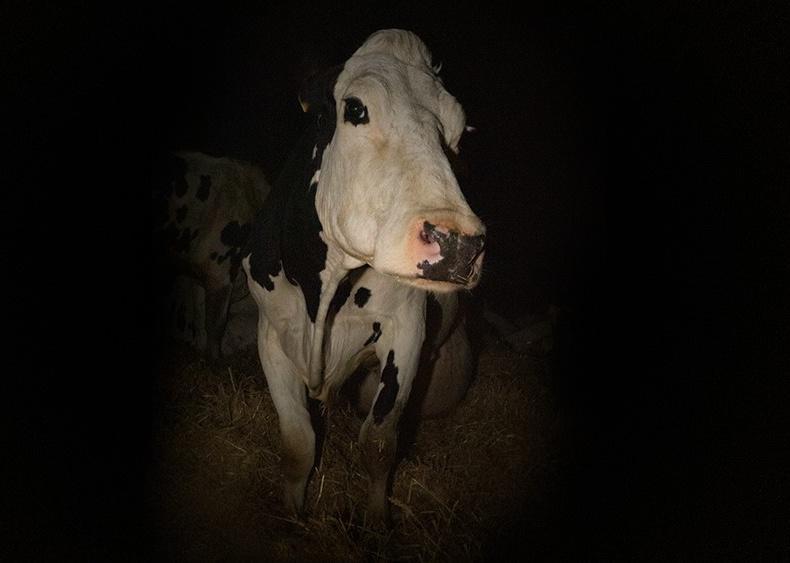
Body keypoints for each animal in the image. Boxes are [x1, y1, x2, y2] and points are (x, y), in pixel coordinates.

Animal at [155, 151, 272, 356]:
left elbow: (199, 313)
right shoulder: (221, 267)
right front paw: (214, 358)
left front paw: (199, 349)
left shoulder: (197, 271)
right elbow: (215, 324)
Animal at [244, 29, 486, 524]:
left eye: (457, 132)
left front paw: (376, 523)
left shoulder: (405, 330)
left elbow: (377, 442)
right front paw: (292, 517)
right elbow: (298, 442)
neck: (323, 294)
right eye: (355, 108)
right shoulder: (270, 332)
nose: (459, 244)